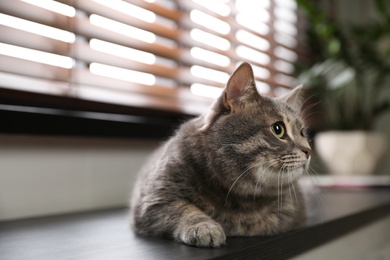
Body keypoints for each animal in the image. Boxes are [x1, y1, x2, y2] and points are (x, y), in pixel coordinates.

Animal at [130, 62, 310, 247]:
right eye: (278, 129)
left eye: (303, 133)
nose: (308, 150)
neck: (238, 198)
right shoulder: (153, 201)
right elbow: (182, 209)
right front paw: (204, 226)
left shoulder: (293, 212)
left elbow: (266, 222)